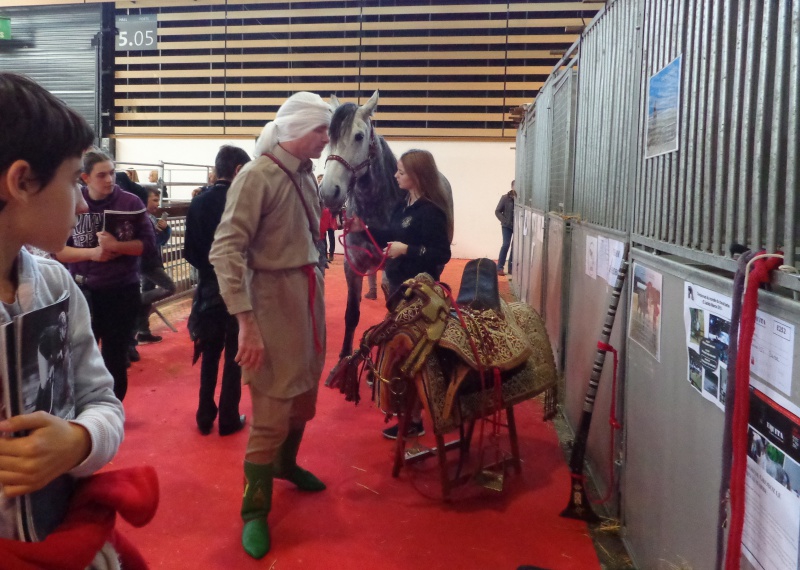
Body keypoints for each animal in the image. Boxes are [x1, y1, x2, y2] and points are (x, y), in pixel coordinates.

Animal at [320, 91, 456, 362]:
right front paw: (344, 356)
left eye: (359, 136)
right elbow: (352, 314)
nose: (329, 192)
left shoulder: (394, 270)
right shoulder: (353, 266)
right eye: (329, 136)